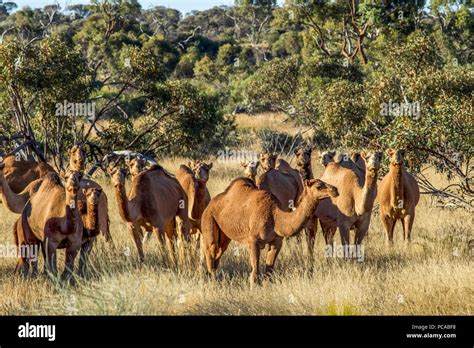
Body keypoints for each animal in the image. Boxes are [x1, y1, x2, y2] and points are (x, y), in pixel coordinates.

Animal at [200, 178, 336, 284]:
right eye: (318, 186)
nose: (335, 190)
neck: (275, 217)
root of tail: (210, 204)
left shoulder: (276, 242)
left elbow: (268, 272)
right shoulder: (253, 242)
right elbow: (254, 273)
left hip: (224, 236)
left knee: (218, 253)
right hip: (208, 219)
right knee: (210, 251)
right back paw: (212, 282)